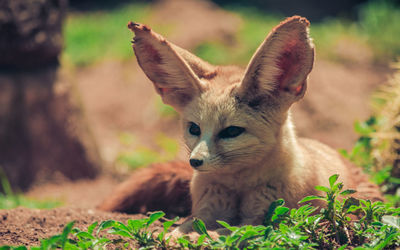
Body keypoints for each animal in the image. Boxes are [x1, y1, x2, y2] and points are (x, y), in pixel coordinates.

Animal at [97, 17, 382, 232]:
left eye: (232, 131)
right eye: (194, 128)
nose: (195, 162)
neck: (238, 188)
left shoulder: (267, 218)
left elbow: (227, 232)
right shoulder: (204, 211)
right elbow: (183, 229)